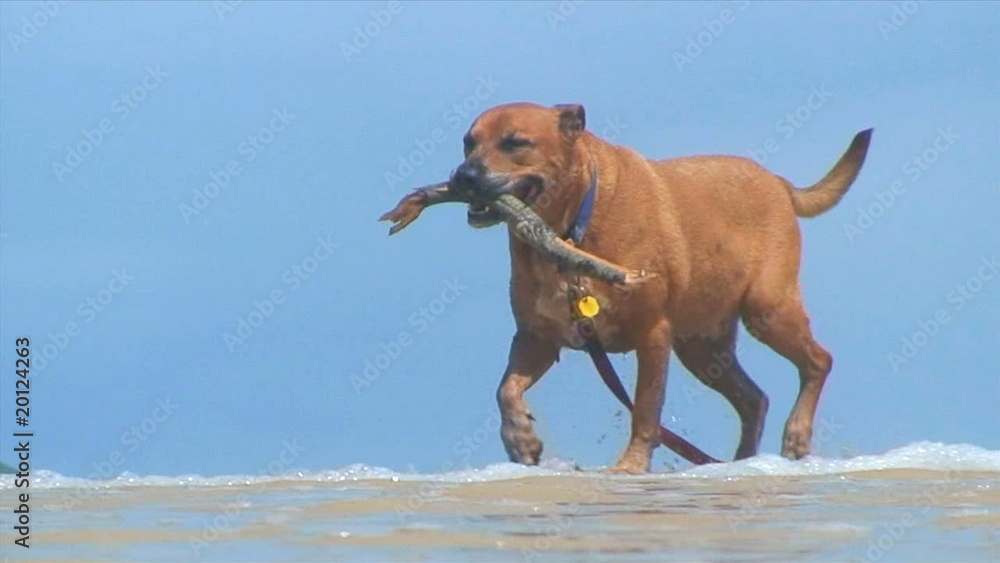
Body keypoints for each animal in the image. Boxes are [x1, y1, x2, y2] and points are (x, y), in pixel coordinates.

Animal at [450, 102, 872, 476]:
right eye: (468, 142)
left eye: (514, 143)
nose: (463, 176)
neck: (569, 229)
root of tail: (780, 183)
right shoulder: (536, 337)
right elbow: (506, 389)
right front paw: (520, 438)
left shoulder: (652, 333)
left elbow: (646, 408)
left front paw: (632, 464)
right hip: (702, 347)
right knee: (754, 399)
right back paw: (741, 462)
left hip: (766, 308)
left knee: (818, 361)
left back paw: (796, 434)